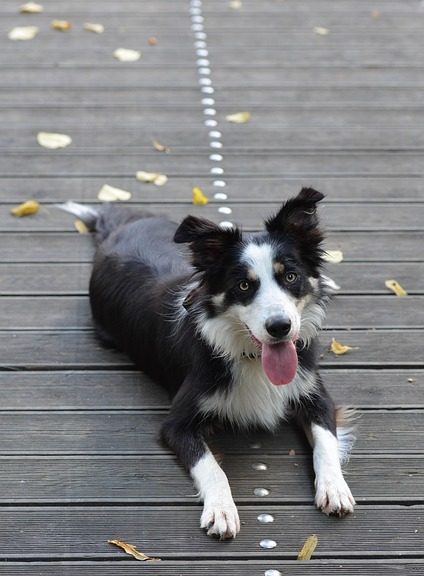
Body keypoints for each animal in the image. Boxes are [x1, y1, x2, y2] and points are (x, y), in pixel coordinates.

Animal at [59, 189, 354, 540]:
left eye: (291, 276)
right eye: (243, 286)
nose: (280, 327)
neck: (250, 356)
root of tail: (119, 227)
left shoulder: (316, 394)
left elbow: (326, 441)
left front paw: (334, 488)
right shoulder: (177, 423)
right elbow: (212, 467)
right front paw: (221, 511)